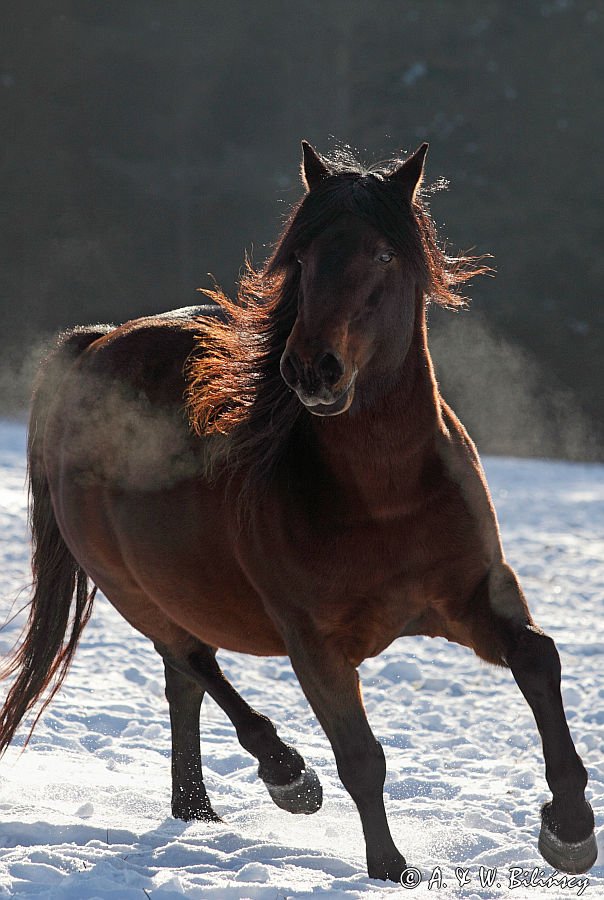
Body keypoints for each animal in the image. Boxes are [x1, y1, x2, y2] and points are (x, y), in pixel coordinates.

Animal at [0, 139, 596, 880]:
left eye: (382, 255)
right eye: (305, 259)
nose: (313, 369)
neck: (386, 497)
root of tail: (94, 345)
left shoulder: (472, 596)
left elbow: (540, 658)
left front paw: (570, 828)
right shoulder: (314, 644)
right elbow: (360, 757)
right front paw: (390, 869)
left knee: (183, 684)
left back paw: (196, 810)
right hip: (133, 590)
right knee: (194, 664)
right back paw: (285, 776)